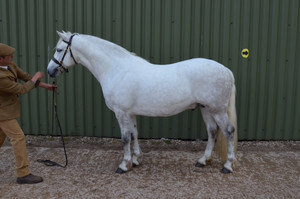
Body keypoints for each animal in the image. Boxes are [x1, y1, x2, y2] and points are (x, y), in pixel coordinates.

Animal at [48, 31, 238, 174]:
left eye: (59, 49)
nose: (50, 71)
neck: (116, 70)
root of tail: (226, 70)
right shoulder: (130, 113)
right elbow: (134, 134)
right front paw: (135, 160)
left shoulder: (121, 112)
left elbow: (125, 138)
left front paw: (123, 165)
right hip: (206, 109)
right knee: (212, 131)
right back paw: (203, 160)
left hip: (217, 110)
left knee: (228, 131)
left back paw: (227, 166)